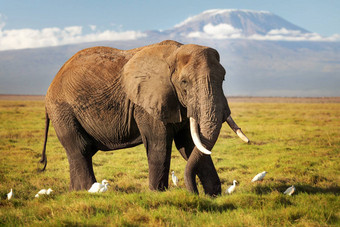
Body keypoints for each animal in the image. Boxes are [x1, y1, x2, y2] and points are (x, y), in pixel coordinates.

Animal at [39, 40, 248, 196]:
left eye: (223, 79)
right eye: (184, 82)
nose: (194, 193)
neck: (175, 53)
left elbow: (191, 144)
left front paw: (214, 196)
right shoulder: (147, 104)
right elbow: (160, 143)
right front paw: (158, 194)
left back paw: (75, 192)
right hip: (63, 111)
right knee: (80, 149)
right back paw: (87, 191)